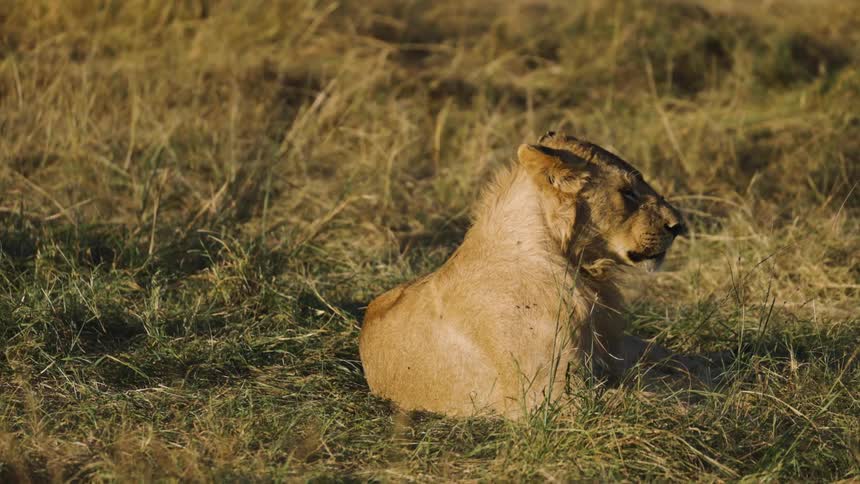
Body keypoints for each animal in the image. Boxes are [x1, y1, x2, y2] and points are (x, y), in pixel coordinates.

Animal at [359, 132, 694, 418]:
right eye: (627, 193)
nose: (678, 225)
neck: (581, 271)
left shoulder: (613, 350)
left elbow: (673, 366)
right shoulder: (548, 397)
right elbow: (648, 401)